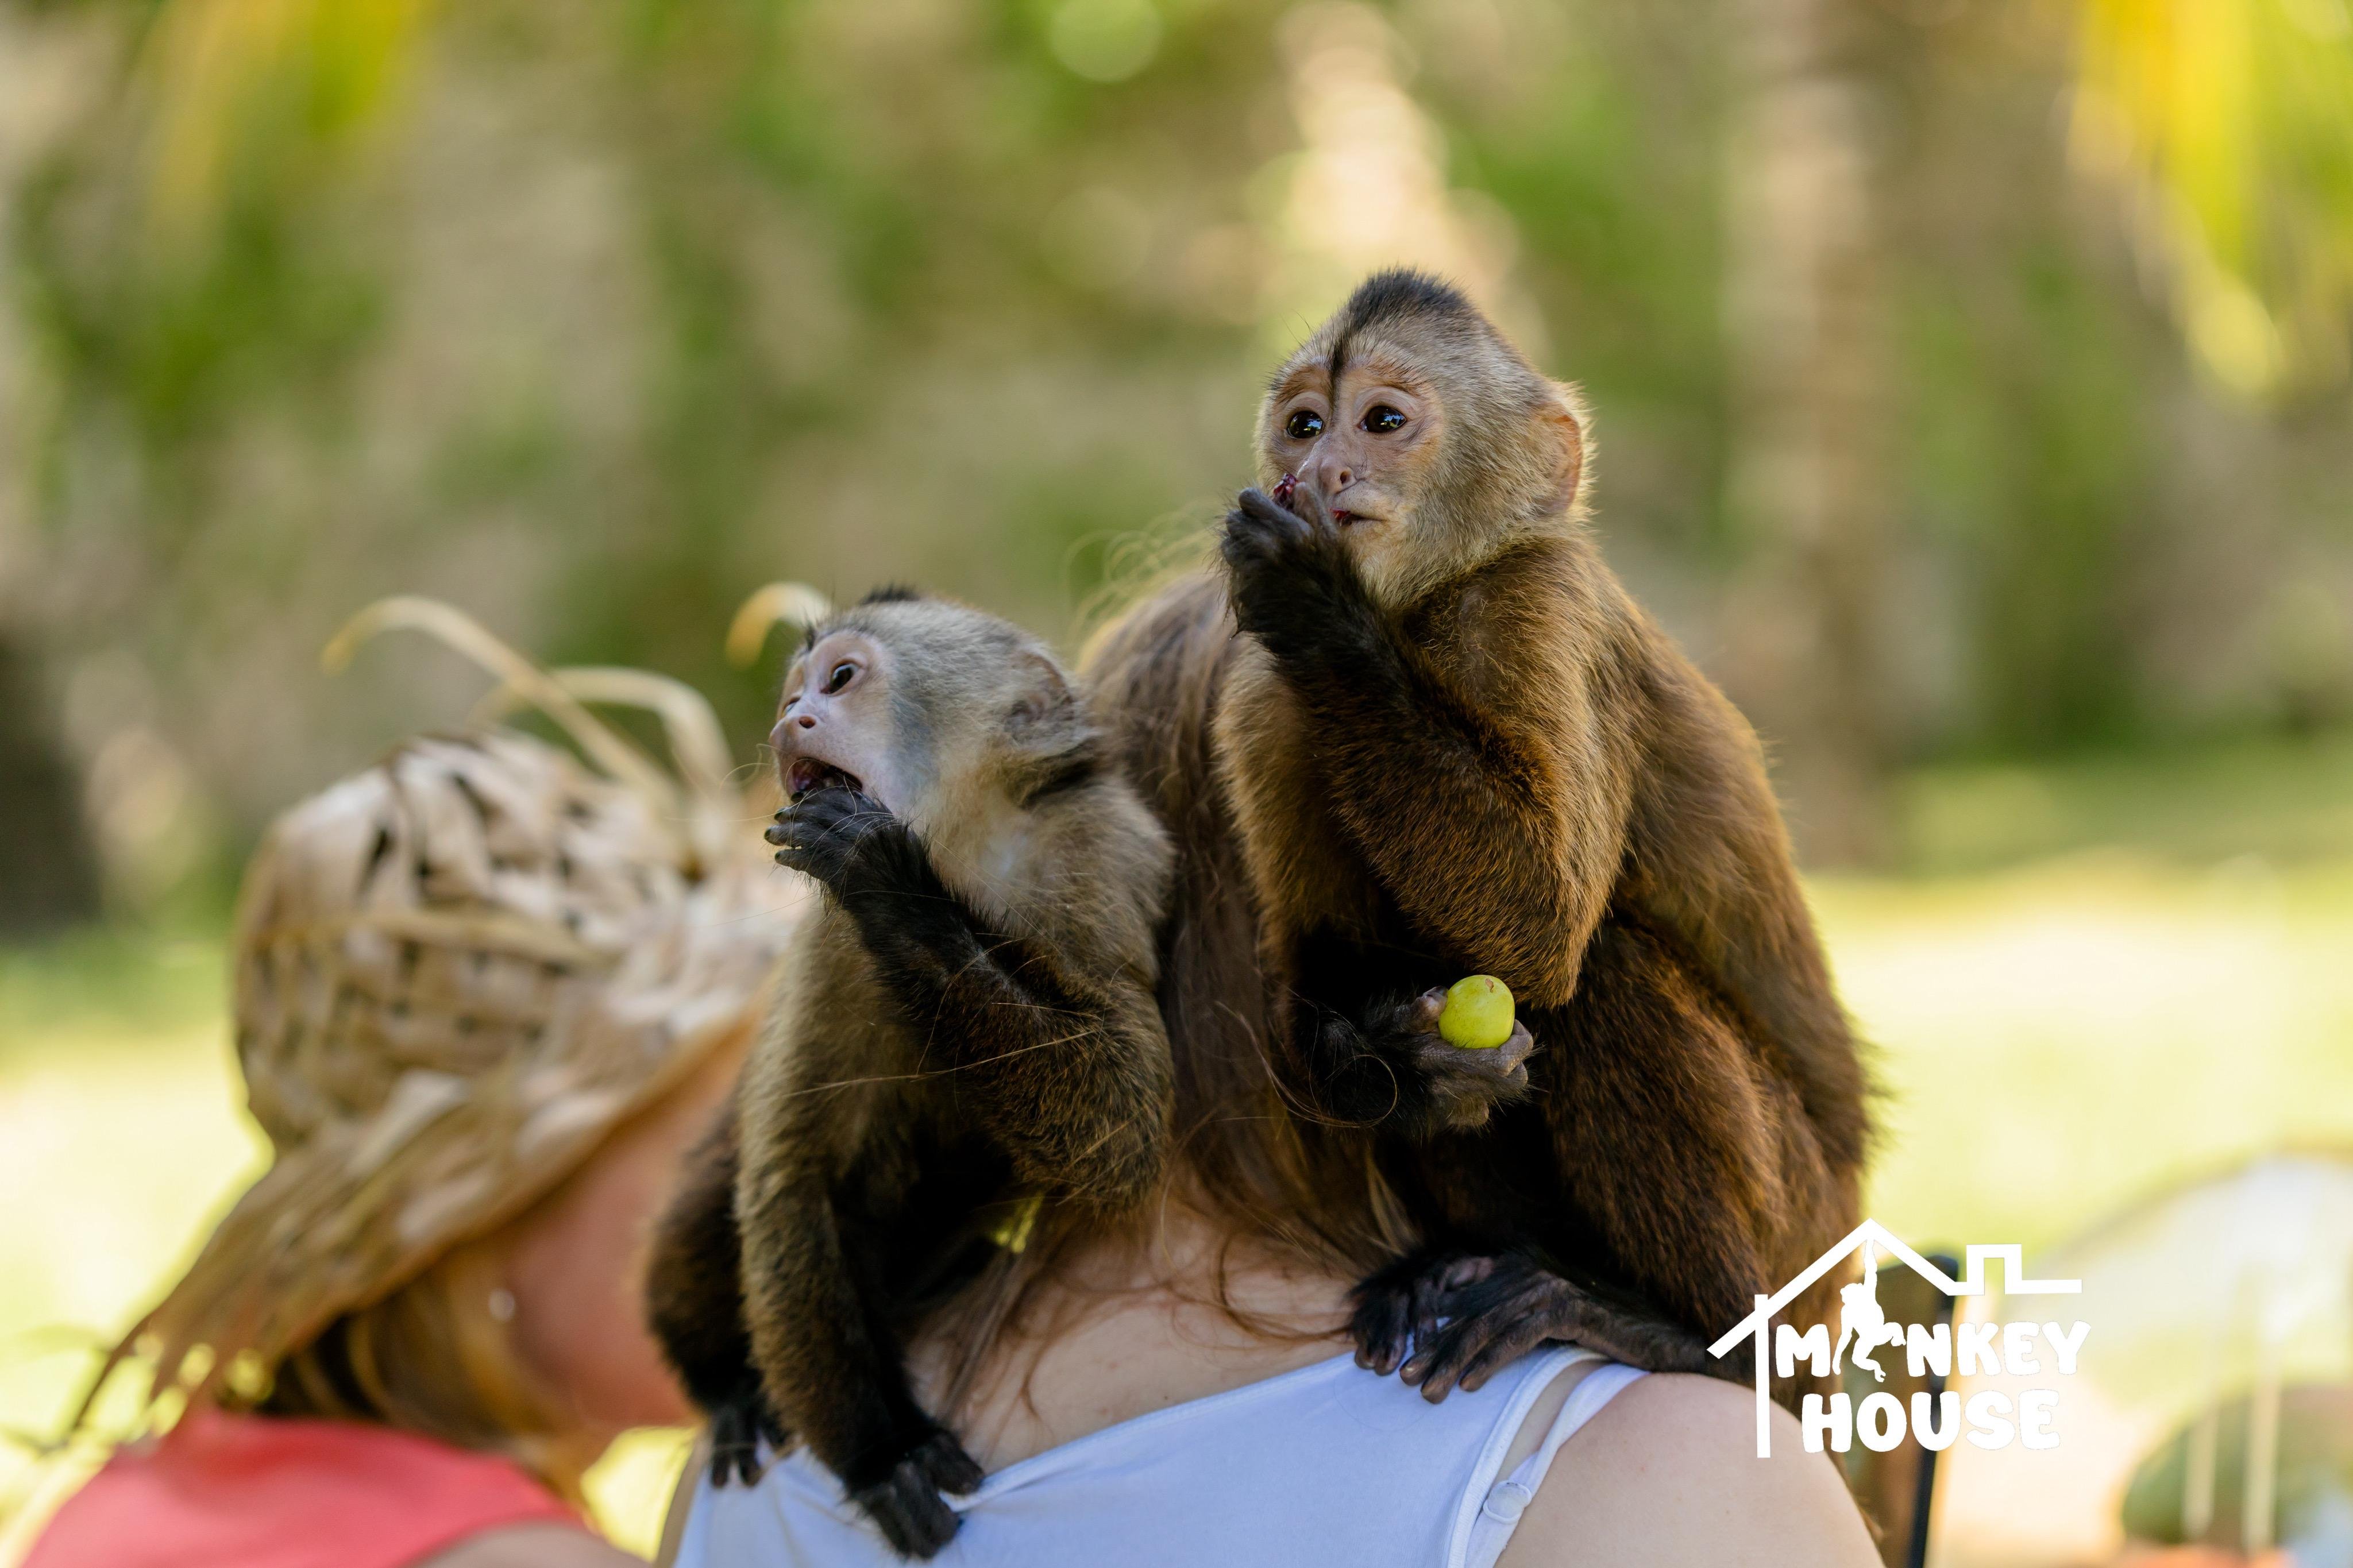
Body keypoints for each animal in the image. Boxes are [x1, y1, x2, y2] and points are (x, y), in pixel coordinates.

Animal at [644, 589, 1176, 1559]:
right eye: (793, 691)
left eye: (841, 678)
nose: (790, 719)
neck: (961, 851)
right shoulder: (826, 948)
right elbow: (789, 1182)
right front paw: (884, 1451)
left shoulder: (1106, 859)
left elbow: (1120, 1141)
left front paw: (892, 890)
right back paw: (726, 1384)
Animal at [1079, 269, 1870, 1405]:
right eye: (1305, 424)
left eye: (1382, 423)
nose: (1320, 471)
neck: (1418, 618)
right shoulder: (1261, 702)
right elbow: (1325, 967)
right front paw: (1399, 1067)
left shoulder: (1535, 604)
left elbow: (1539, 921)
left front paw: (1321, 608)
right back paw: (1467, 1258)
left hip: (1804, 1245)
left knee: (1606, 977)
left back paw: (1691, 1338)